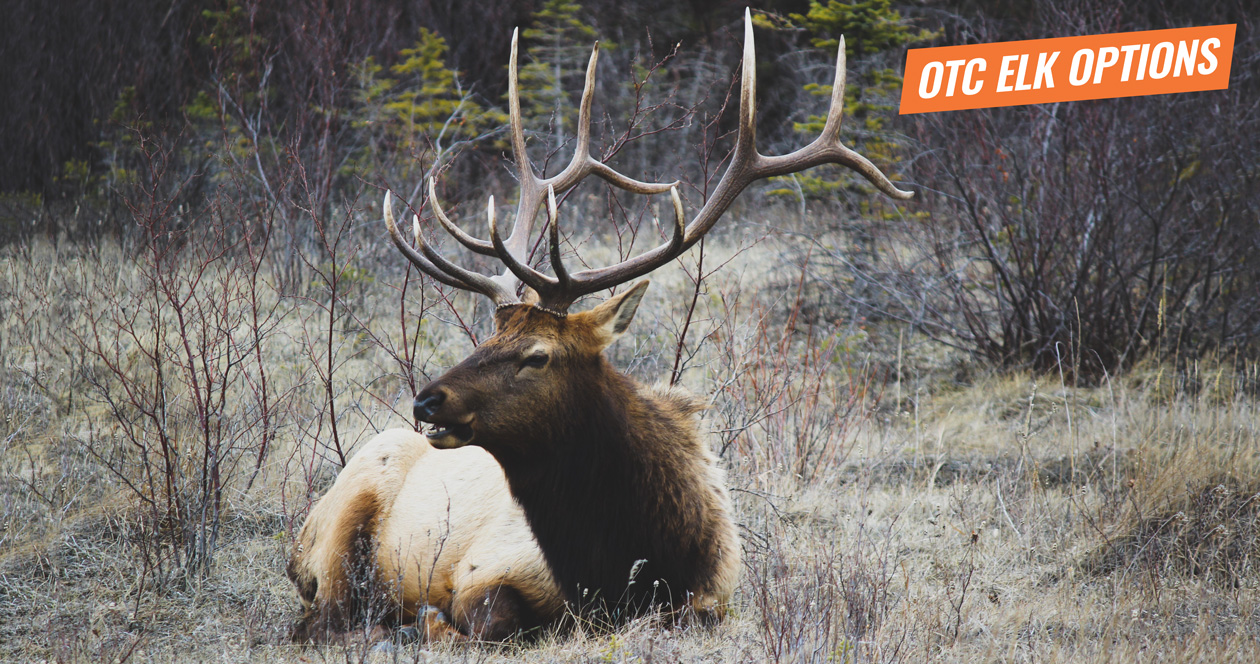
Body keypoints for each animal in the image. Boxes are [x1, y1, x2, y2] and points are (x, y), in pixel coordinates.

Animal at [288, 9, 912, 644]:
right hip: (340, 532)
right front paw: (426, 620)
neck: (623, 562)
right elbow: (484, 619)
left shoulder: (712, 597)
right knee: (320, 619)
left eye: (537, 355)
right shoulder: (483, 568)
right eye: (488, 338)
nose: (427, 401)